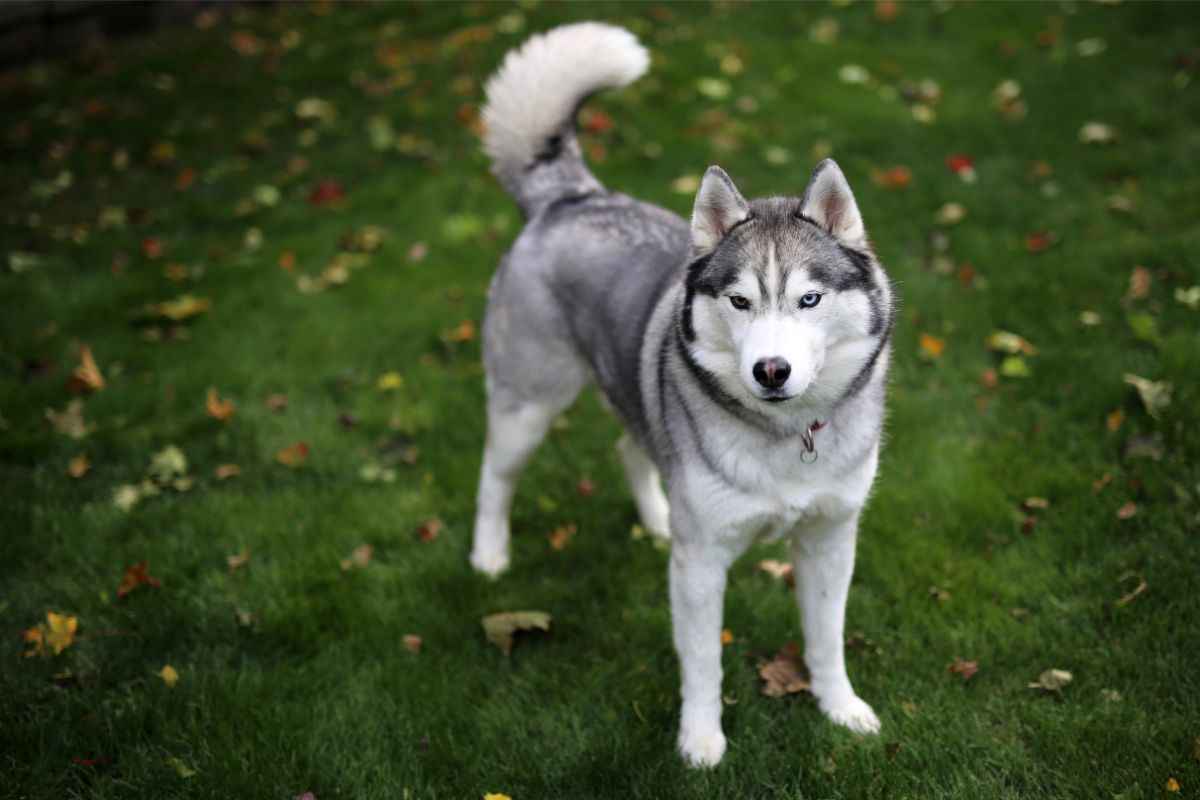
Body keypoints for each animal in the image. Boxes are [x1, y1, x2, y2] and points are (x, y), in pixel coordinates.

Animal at [468, 21, 892, 767]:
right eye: (740, 301)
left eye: (809, 299)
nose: (771, 371)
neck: (785, 441)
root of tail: (574, 197)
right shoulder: (700, 567)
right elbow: (702, 662)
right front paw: (700, 740)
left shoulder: (830, 540)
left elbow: (827, 638)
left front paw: (839, 708)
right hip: (528, 403)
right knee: (495, 474)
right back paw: (488, 556)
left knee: (630, 447)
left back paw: (657, 517)